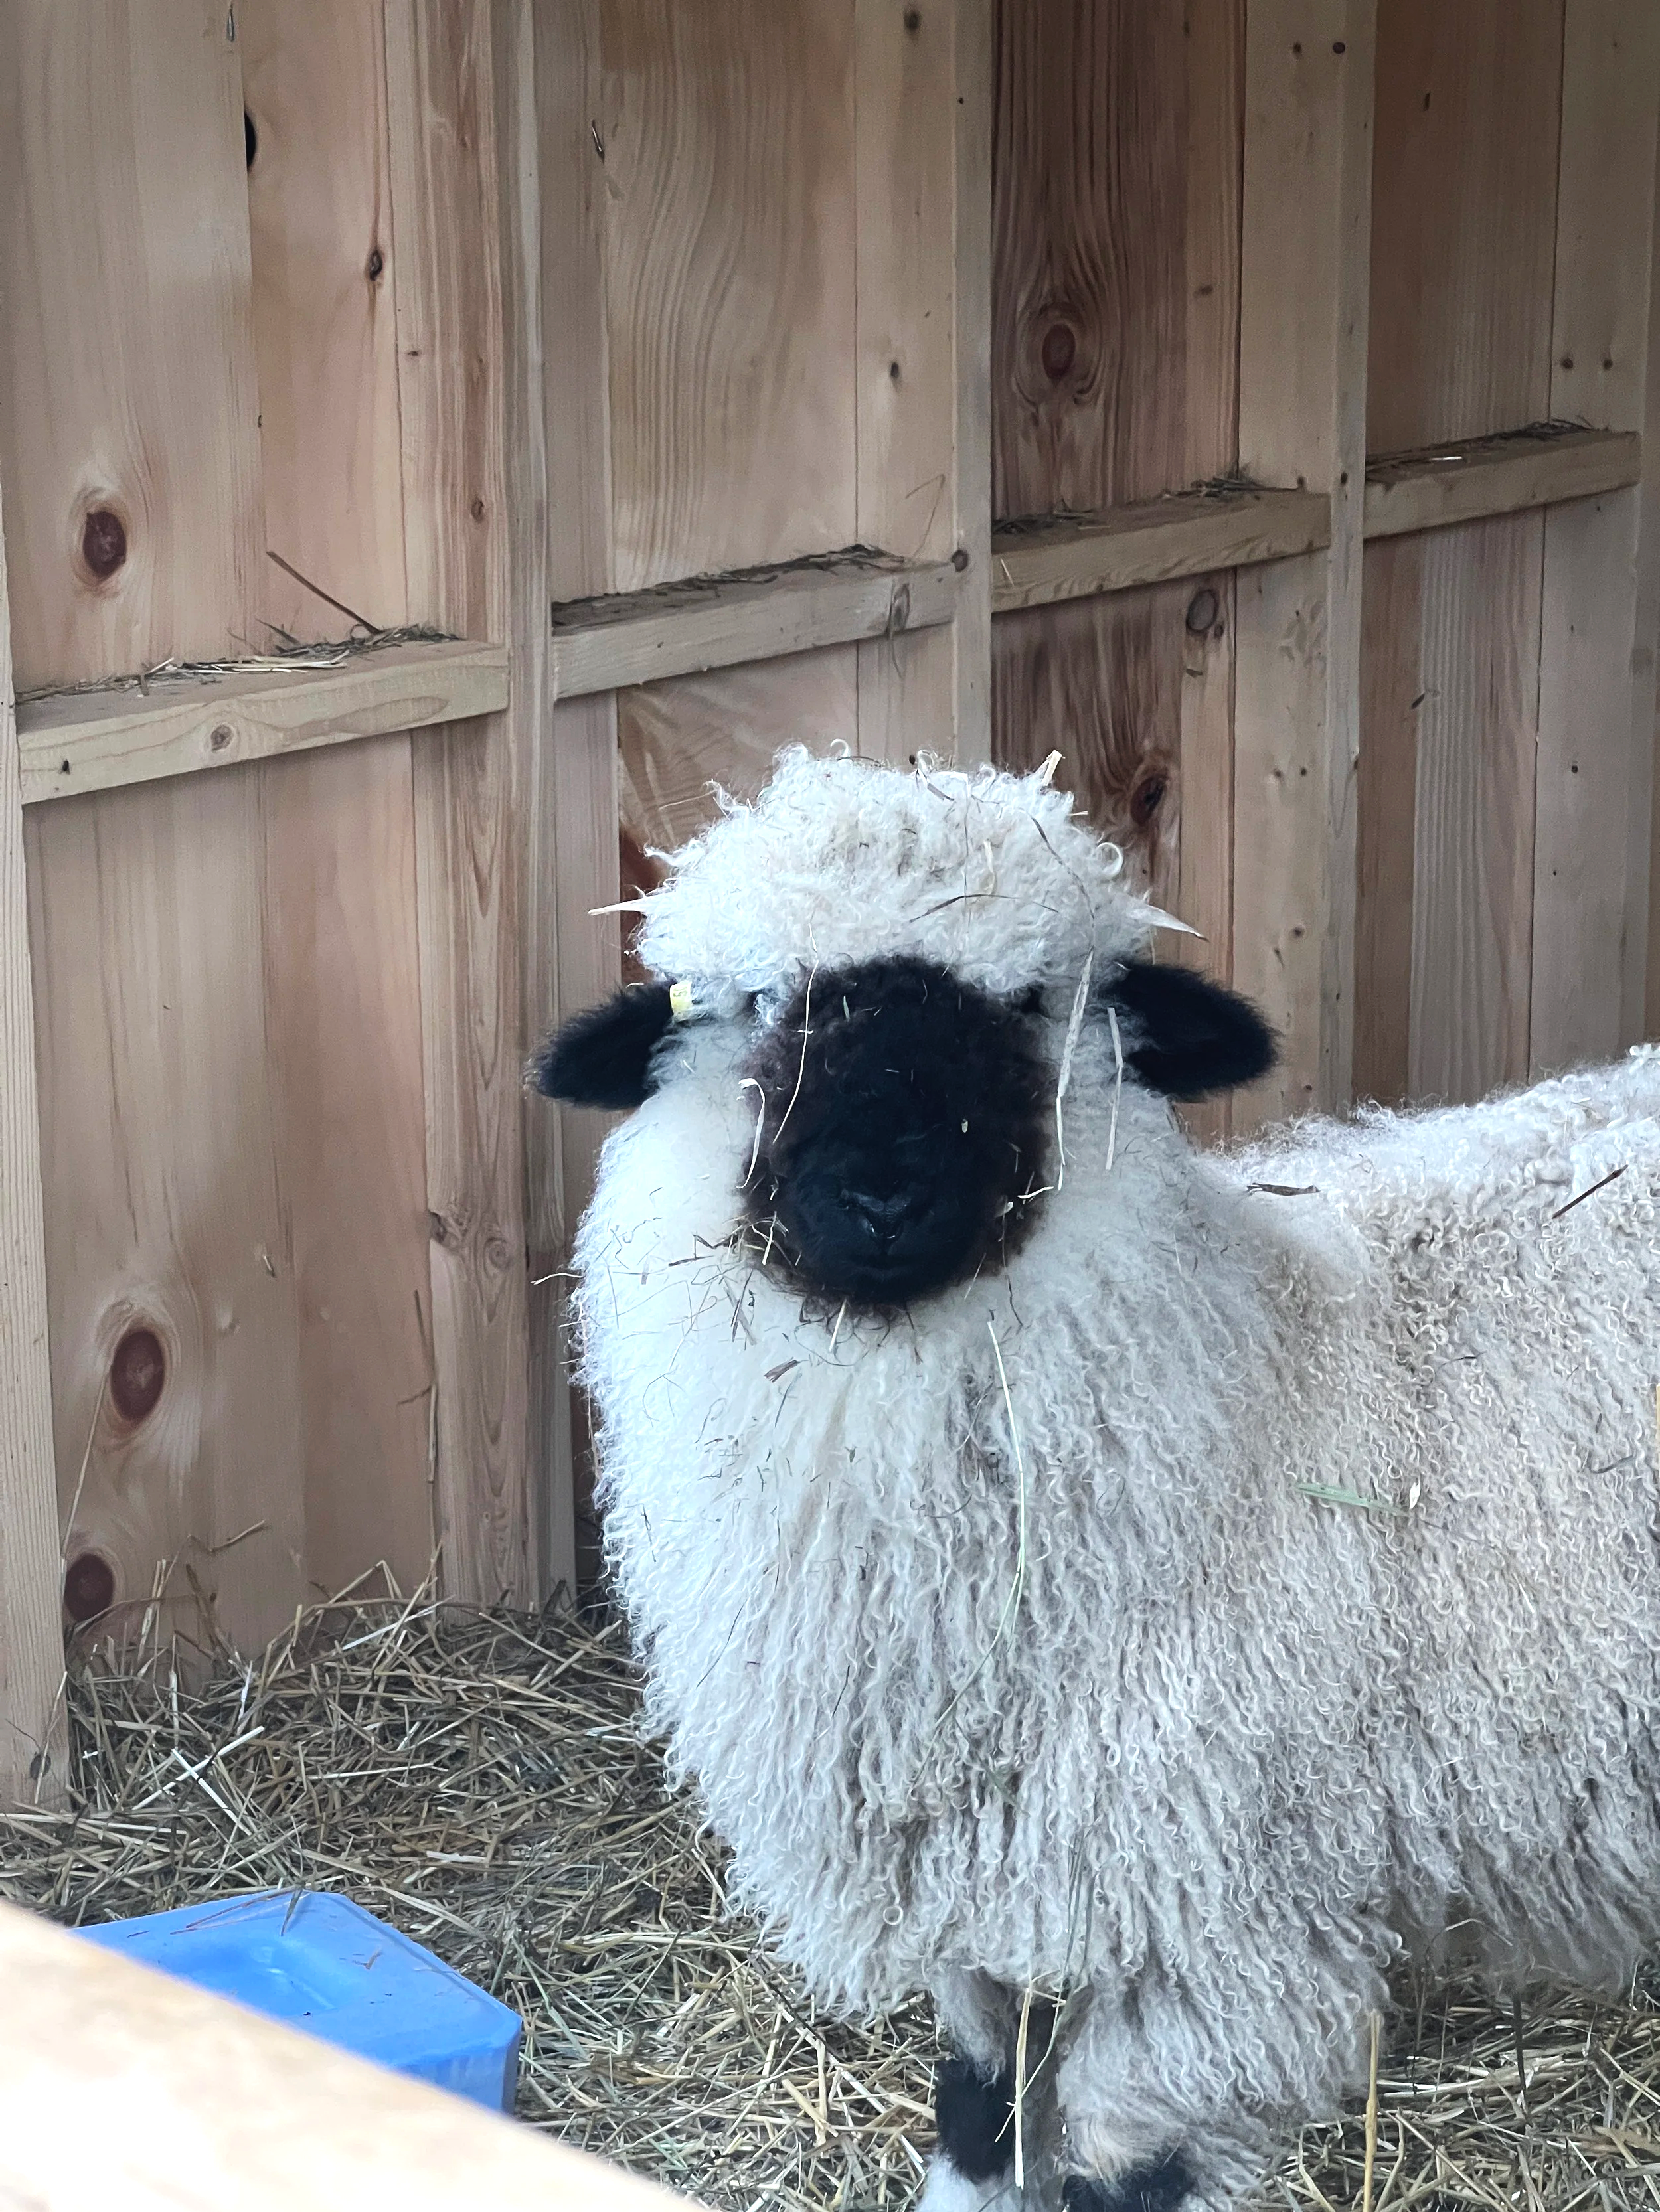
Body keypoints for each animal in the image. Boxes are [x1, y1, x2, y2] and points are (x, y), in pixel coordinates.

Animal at [532, 745, 1660, 2212]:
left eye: (1029, 1002)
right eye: (759, 1003)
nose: (884, 1196)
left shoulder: (1209, 1926)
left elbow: (1127, 2166)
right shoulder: (976, 1890)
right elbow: (980, 2104)